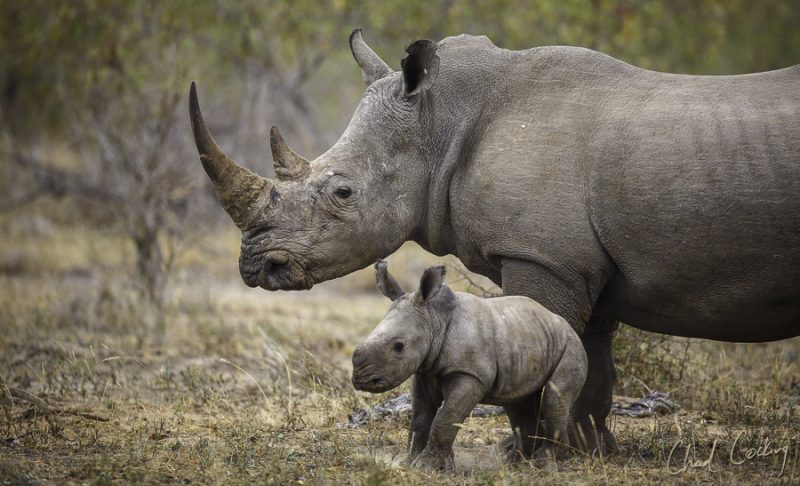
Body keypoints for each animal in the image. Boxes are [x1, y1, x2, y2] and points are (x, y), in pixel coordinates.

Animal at [352, 260, 587, 469]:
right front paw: (409, 463)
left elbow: (445, 418)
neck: (434, 319)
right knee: (518, 403)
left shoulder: (470, 374)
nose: (361, 380)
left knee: (553, 399)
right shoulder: (425, 371)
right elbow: (420, 418)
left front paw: (428, 467)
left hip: (570, 346)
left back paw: (544, 463)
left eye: (399, 346)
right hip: (526, 337)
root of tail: (562, 322)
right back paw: (515, 465)